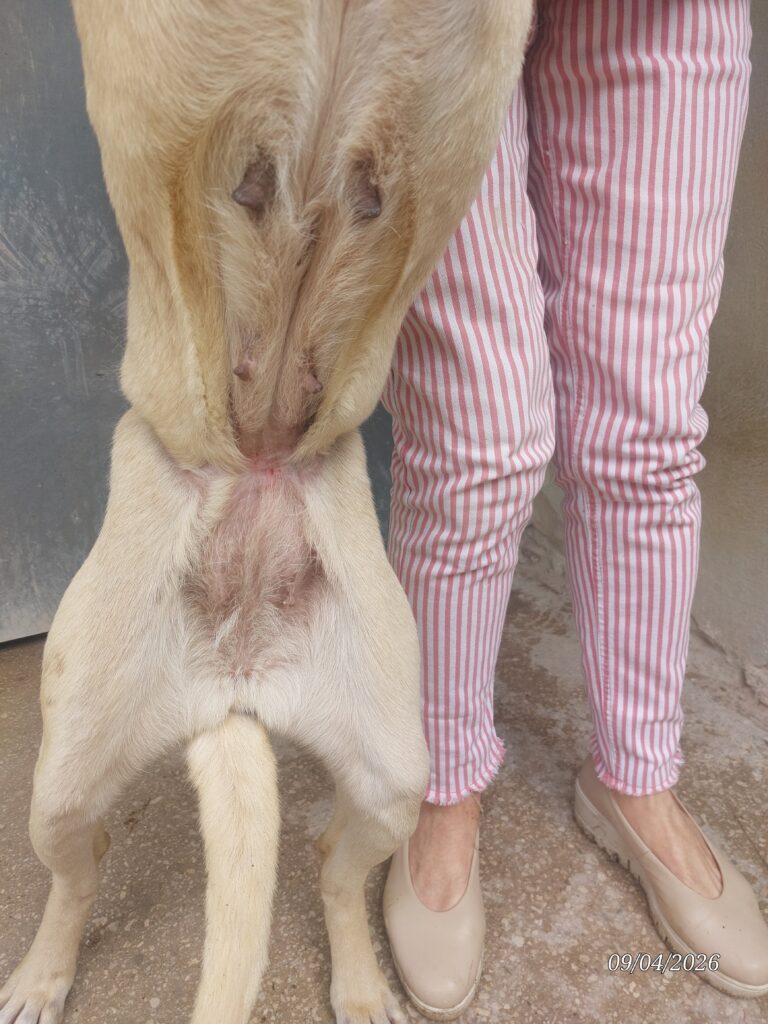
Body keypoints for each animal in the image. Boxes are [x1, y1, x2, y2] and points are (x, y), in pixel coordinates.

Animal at [0, 2, 532, 1021]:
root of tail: (235, 682)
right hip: (63, 779)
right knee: (81, 871)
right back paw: (43, 974)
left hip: (396, 774)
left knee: (331, 868)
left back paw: (361, 983)